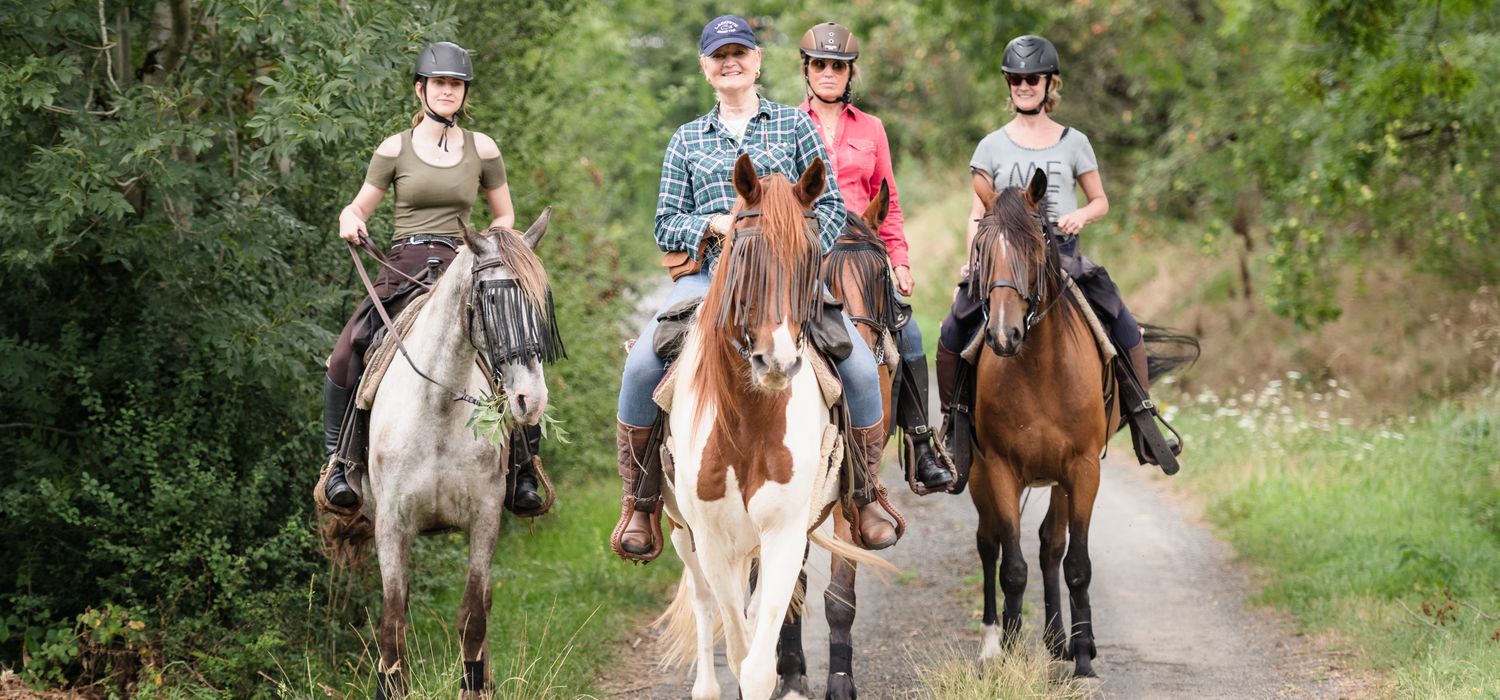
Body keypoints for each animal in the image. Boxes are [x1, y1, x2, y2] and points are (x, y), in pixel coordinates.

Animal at [343, 211, 561, 698]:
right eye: (491, 300)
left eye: (539, 308)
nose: (530, 400)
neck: (437, 406)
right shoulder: (391, 524)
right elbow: (393, 623)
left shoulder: (484, 519)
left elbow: (473, 616)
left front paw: (473, 685)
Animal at [657, 155, 888, 700]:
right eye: (744, 253)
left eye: (810, 258)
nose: (776, 360)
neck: (747, 419)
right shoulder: (713, 539)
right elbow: (738, 645)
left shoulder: (784, 532)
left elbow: (760, 660)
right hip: (679, 528)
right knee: (702, 600)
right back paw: (705, 686)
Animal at [966, 167, 1110, 677]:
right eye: (981, 249)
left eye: (1035, 246)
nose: (1002, 335)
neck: (1040, 368)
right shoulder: (1001, 468)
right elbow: (1012, 566)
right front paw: (1008, 648)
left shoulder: (1084, 468)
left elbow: (1076, 563)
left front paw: (1083, 656)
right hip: (978, 476)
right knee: (989, 543)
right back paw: (993, 641)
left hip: (1062, 480)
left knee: (1051, 544)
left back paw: (1059, 640)